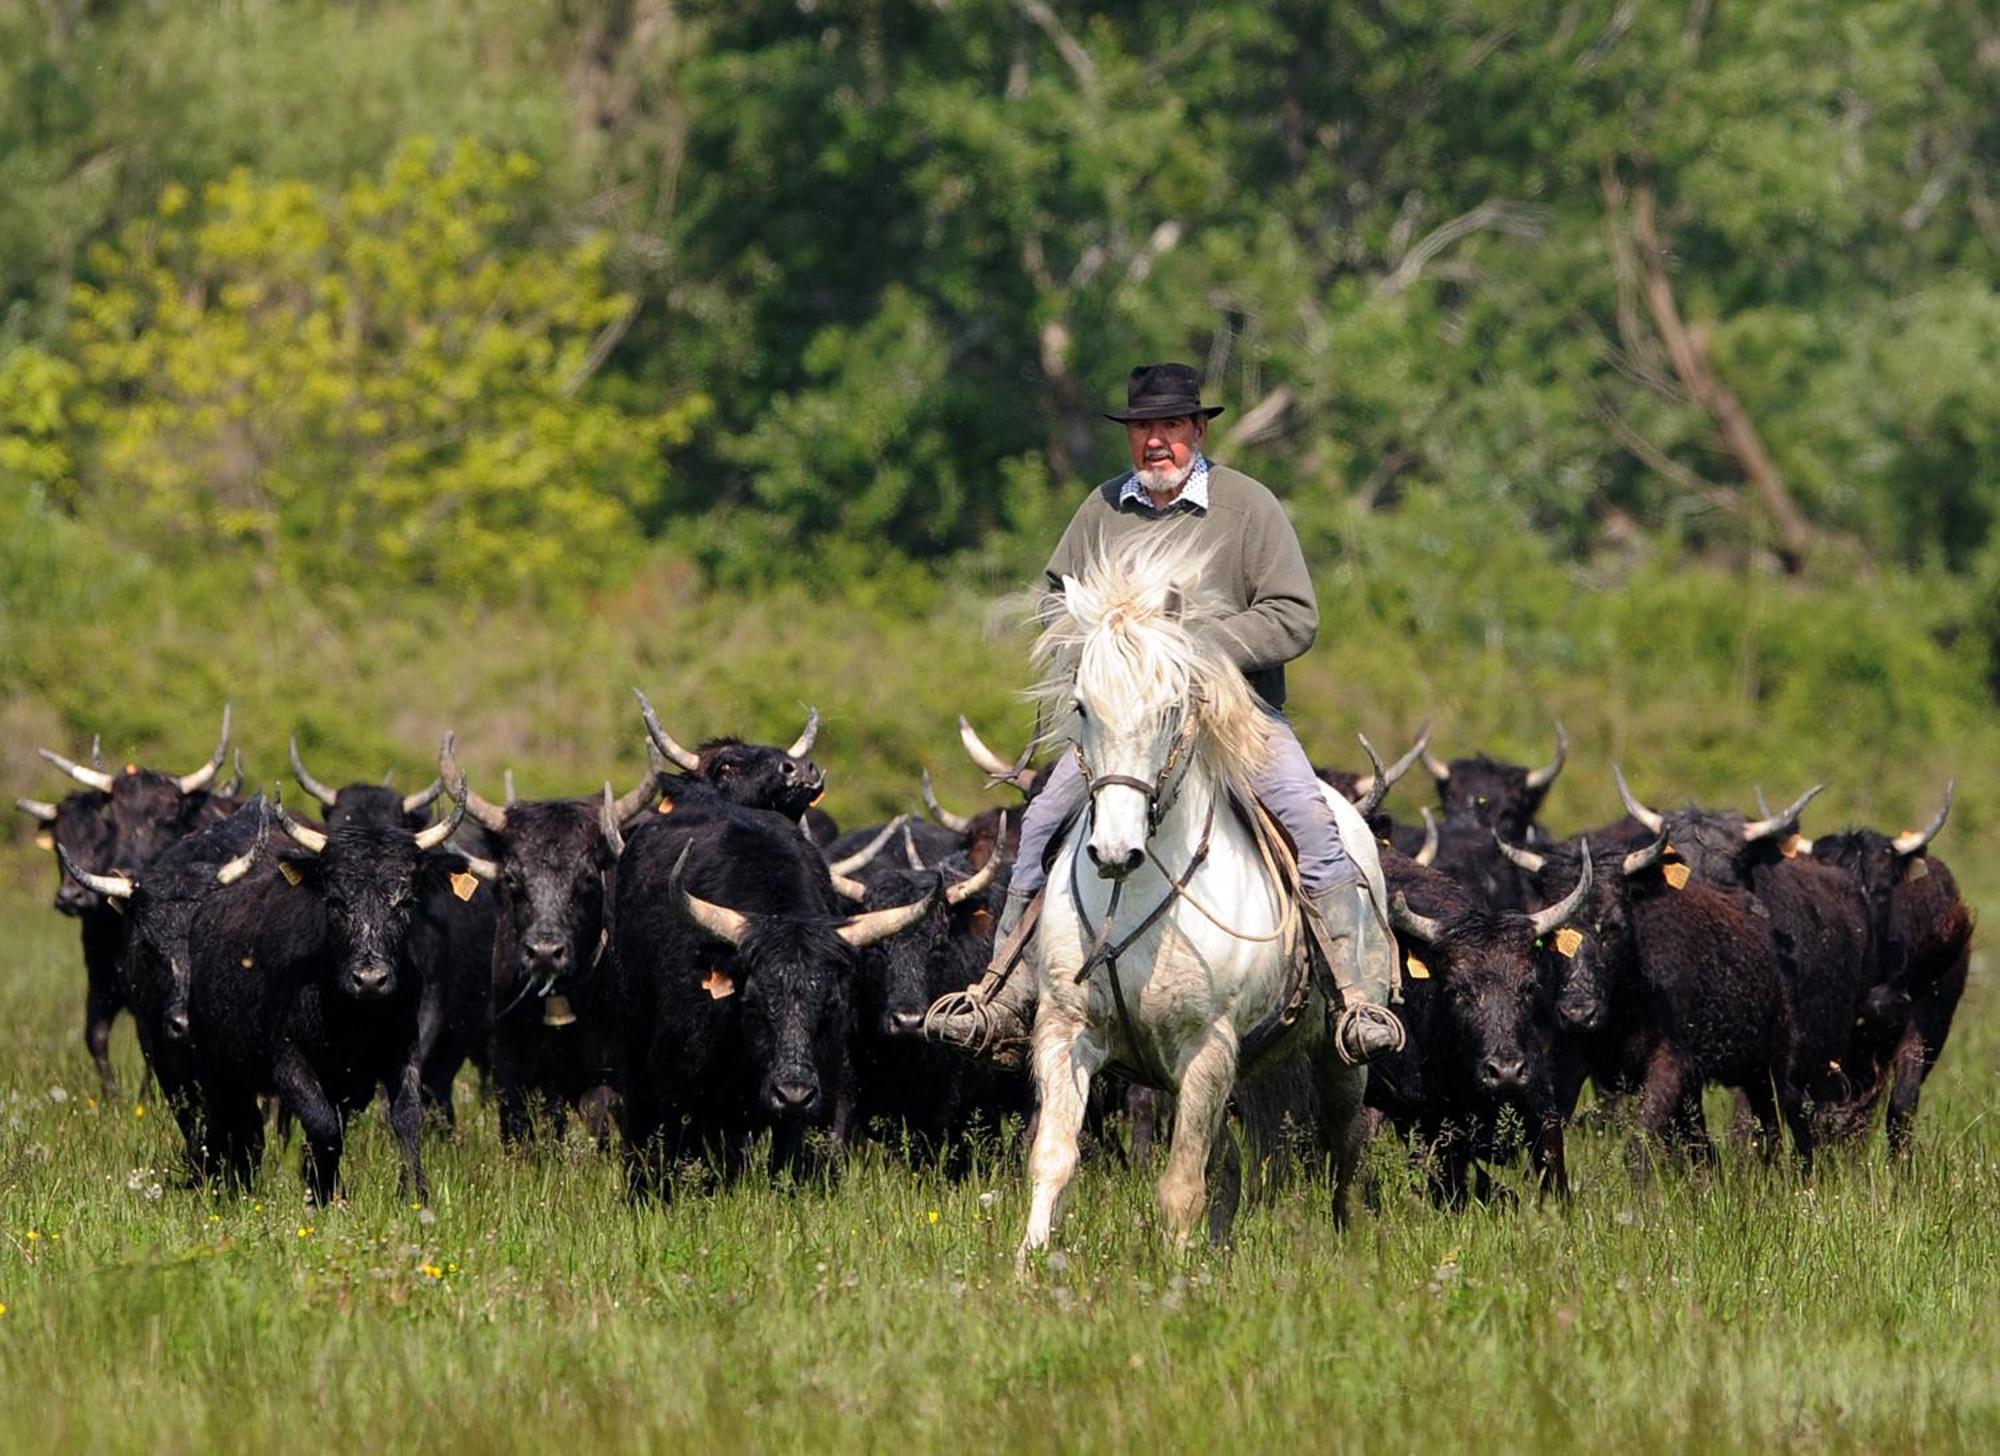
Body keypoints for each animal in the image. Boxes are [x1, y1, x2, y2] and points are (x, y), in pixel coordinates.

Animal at [1016, 528, 1392, 1256]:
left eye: (1170, 709)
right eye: (1081, 707)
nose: (1113, 851)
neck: (1133, 896)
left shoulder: (1207, 1044)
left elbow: (1183, 1184)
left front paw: (1177, 1271)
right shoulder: (1068, 1031)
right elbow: (1054, 1155)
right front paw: (1029, 1261)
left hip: (1339, 1057)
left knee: (1342, 1146)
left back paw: (1348, 1243)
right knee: (1240, 1160)